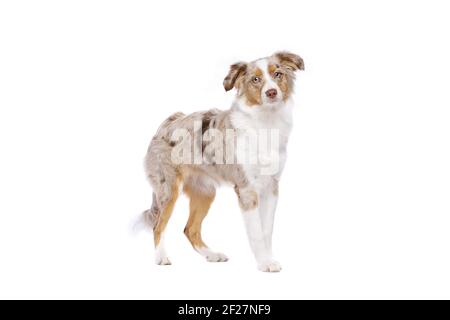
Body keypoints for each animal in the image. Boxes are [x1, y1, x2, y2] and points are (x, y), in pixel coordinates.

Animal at [142, 51, 304, 272]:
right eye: (255, 79)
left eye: (277, 74)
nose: (271, 92)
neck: (265, 122)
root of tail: (166, 124)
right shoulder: (247, 189)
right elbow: (256, 232)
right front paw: (264, 263)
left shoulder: (271, 187)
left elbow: (266, 231)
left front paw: (269, 259)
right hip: (168, 189)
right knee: (158, 226)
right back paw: (161, 258)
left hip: (205, 192)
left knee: (190, 229)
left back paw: (212, 255)